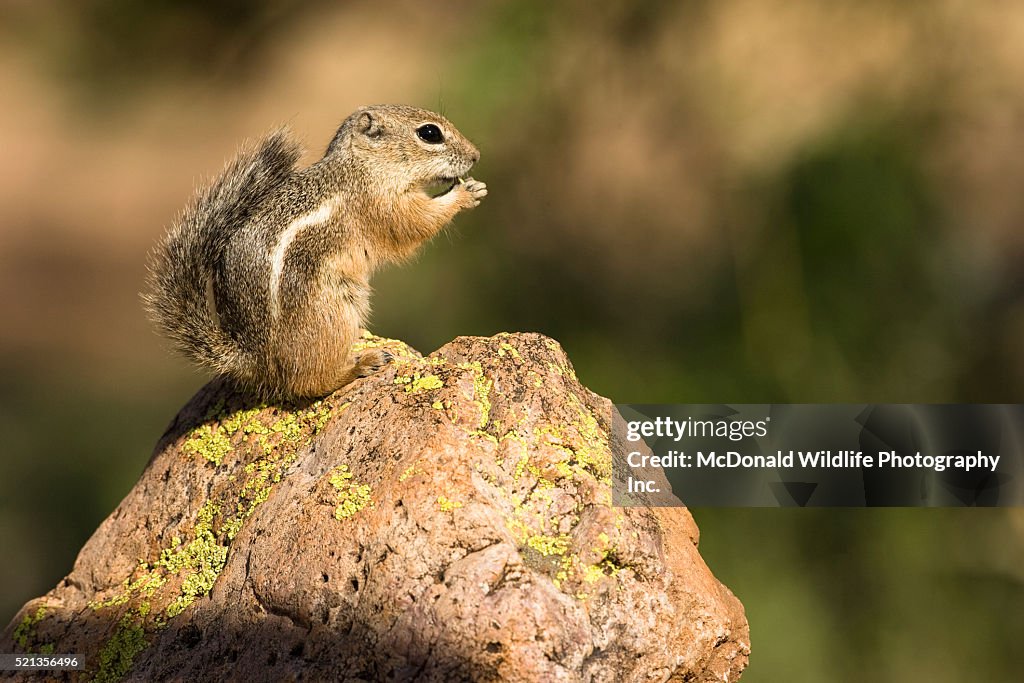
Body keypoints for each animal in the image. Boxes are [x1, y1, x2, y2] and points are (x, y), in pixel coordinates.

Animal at [144, 105, 487, 399]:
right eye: (430, 133)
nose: (476, 155)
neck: (362, 166)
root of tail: (253, 359)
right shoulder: (381, 205)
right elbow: (414, 225)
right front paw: (464, 194)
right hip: (334, 312)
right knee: (309, 383)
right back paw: (362, 365)